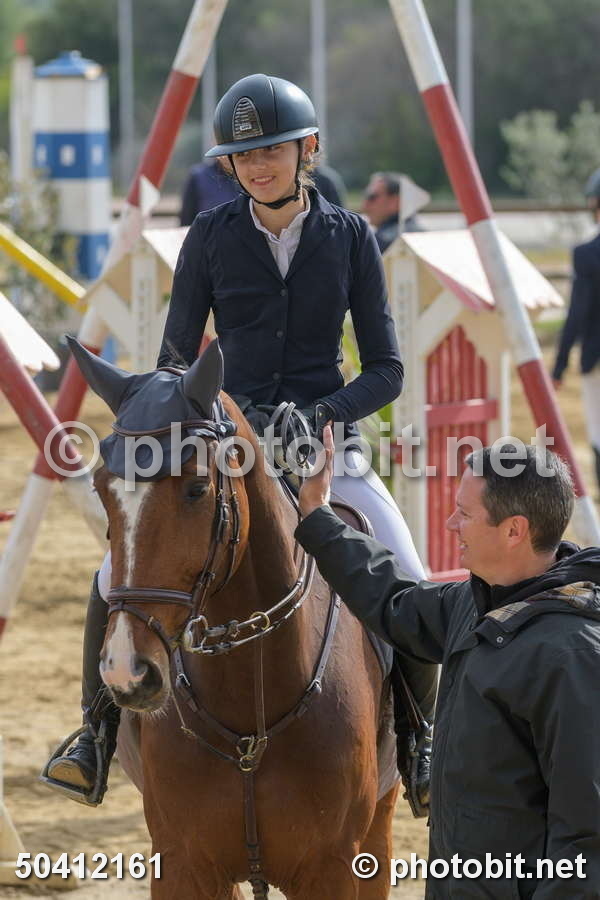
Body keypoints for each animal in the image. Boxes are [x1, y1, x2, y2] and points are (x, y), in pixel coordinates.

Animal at [68, 337, 399, 899]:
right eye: (101, 487)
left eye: (197, 488)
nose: (129, 673)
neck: (248, 704)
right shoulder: (183, 866)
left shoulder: (332, 868)